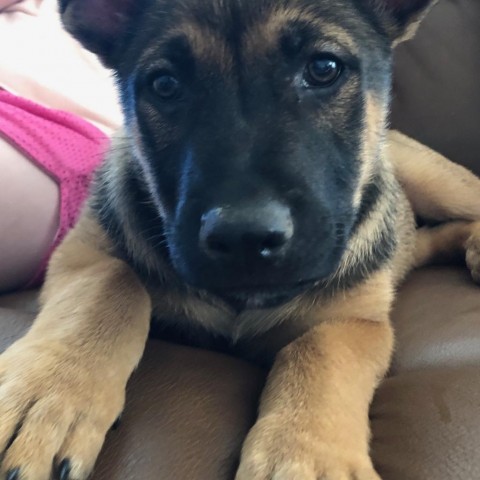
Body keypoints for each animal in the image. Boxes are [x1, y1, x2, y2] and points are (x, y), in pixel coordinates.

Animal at [0, 0, 480, 478]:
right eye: (165, 85)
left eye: (324, 68)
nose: (245, 237)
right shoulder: (83, 249)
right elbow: (113, 284)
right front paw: (48, 393)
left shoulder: (355, 319)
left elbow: (318, 350)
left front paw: (304, 454)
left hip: (430, 178)